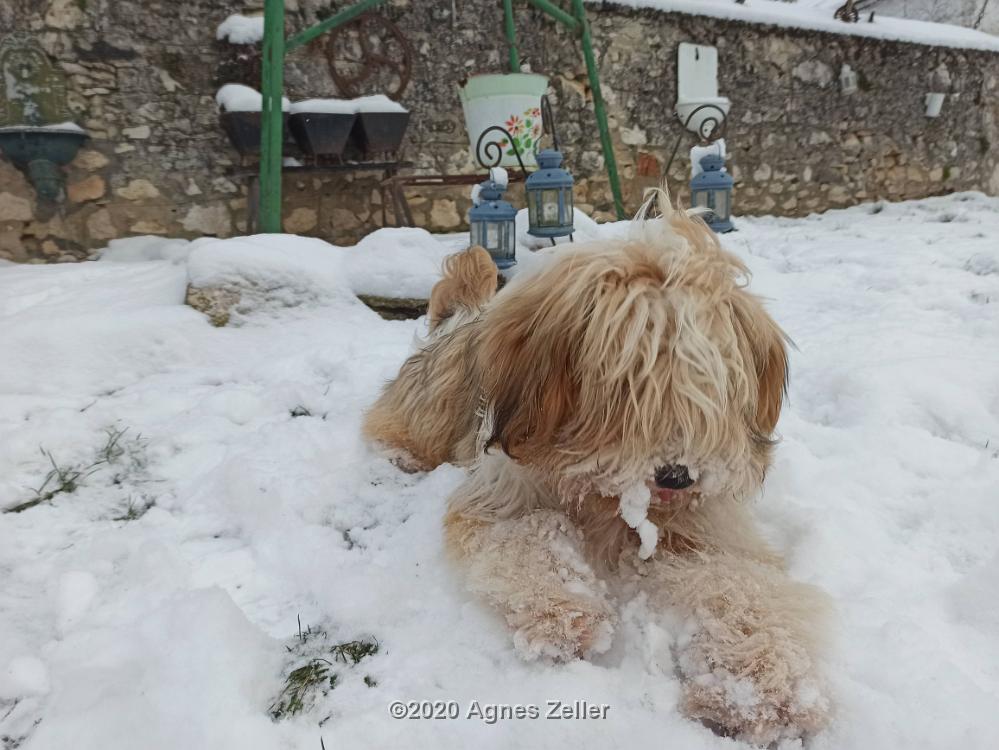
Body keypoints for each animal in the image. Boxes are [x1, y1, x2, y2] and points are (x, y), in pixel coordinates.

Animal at [364, 191, 832, 744]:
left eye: (705, 382)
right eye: (629, 384)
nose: (677, 476)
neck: (599, 495)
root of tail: (461, 317)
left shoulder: (709, 530)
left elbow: (740, 587)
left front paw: (758, 686)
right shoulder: (501, 498)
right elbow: (530, 534)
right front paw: (565, 611)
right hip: (431, 406)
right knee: (390, 426)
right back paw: (398, 458)